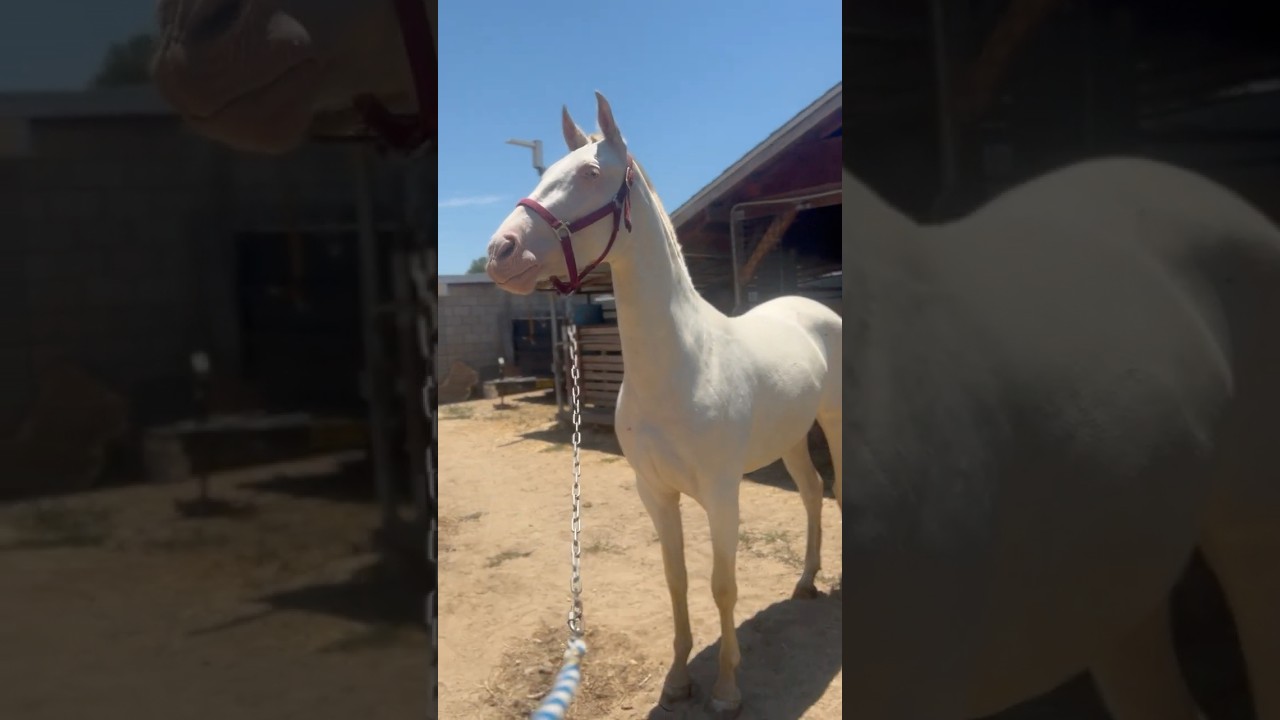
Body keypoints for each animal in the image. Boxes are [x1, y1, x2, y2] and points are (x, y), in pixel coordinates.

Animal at [485, 92, 843, 718]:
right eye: (544, 174)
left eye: (590, 173)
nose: (500, 251)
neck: (681, 364)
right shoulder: (655, 493)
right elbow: (676, 581)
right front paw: (678, 680)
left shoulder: (722, 494)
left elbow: (721, 585)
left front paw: (726, 688)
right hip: (794, 436)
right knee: (812, 492)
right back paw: (805, 582)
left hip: (836, 420)